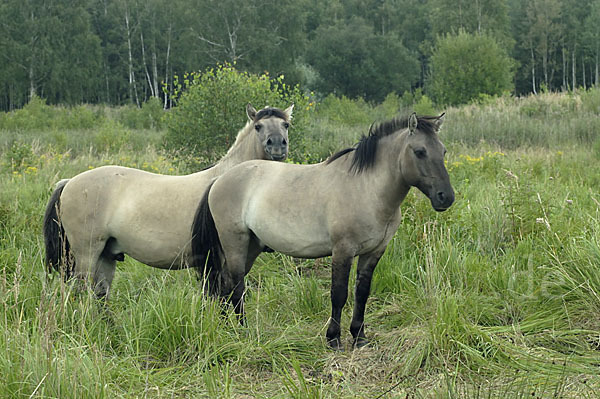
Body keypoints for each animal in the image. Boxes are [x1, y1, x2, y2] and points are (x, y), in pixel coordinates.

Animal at [43, 103, 294, 300]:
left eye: (286, 125)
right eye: (258, 126)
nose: (277, 145)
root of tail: (69, 182)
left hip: (106, 255)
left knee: (100, 295)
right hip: (86, 254)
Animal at [192, 112, 454, 350]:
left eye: (443, 152)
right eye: (419, 151)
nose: (446, 197)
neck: (366, 188)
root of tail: (219, 180)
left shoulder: (373, 252)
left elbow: (362, 293)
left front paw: (359, 337)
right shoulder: (343, 250)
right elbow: (339, 294)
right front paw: (334, 339)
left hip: (251, 247)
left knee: (225, 285)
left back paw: (225, 327)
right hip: (235, 245)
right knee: (236, 286)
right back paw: (242, 330)